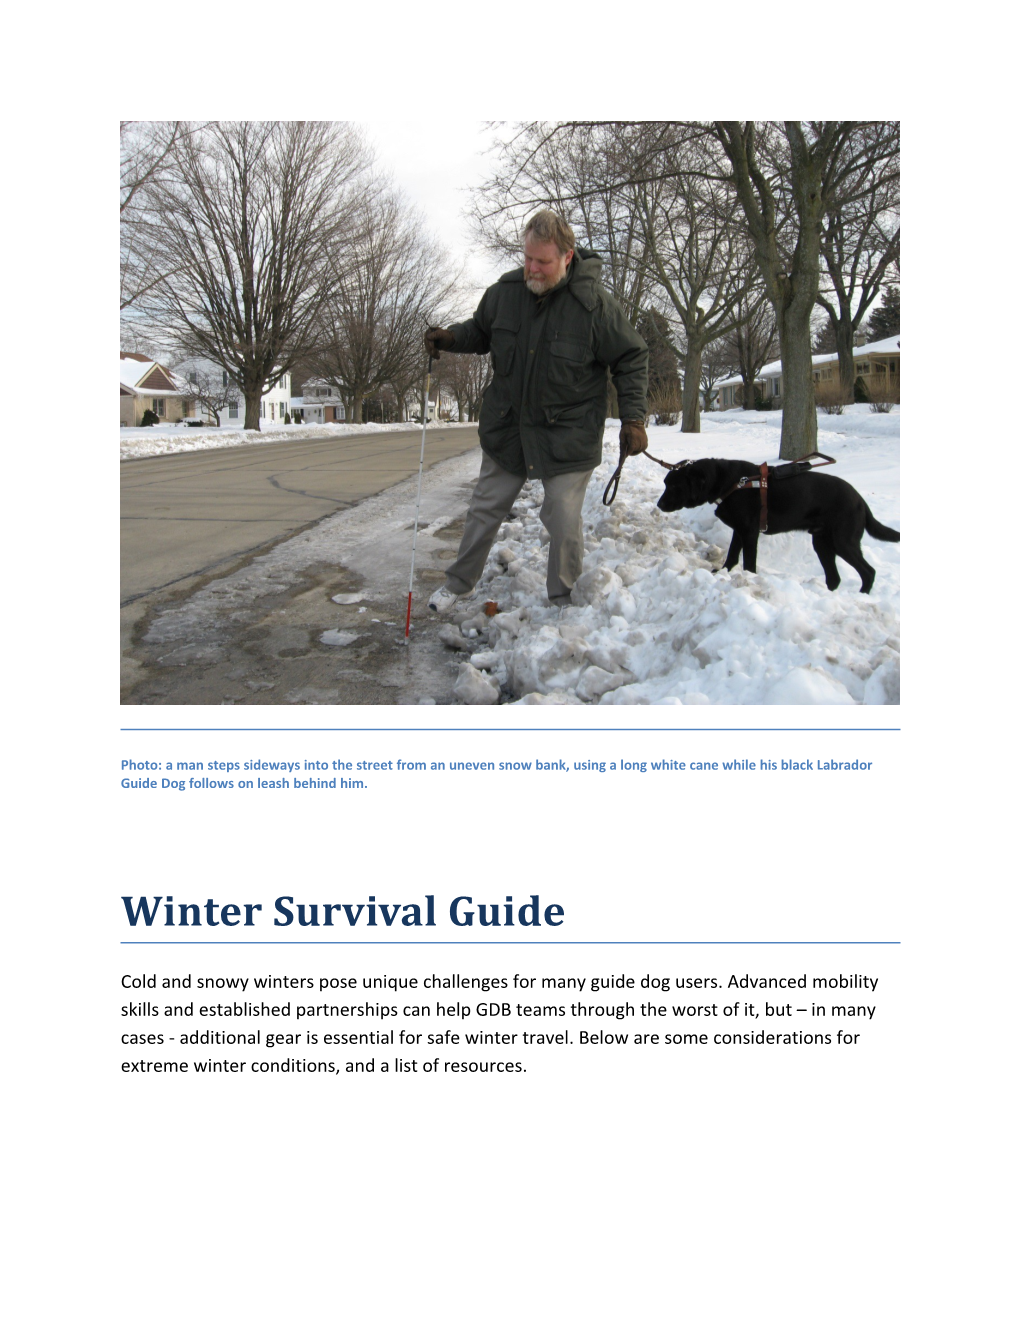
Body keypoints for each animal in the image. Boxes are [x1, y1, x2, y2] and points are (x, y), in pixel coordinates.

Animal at [651, 459, 897, 594]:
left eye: (674, 486)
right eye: (665, 483)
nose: (659, 504)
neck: (730, 483)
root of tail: (860, 500)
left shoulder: (749, 532)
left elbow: (749, 562)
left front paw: (749, 579)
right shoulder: (739, 530)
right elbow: (732, 556)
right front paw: (722, 572)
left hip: (843, 541)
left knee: (868, 572)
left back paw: (862, 595)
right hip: (822, 542)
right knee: (834, 578)